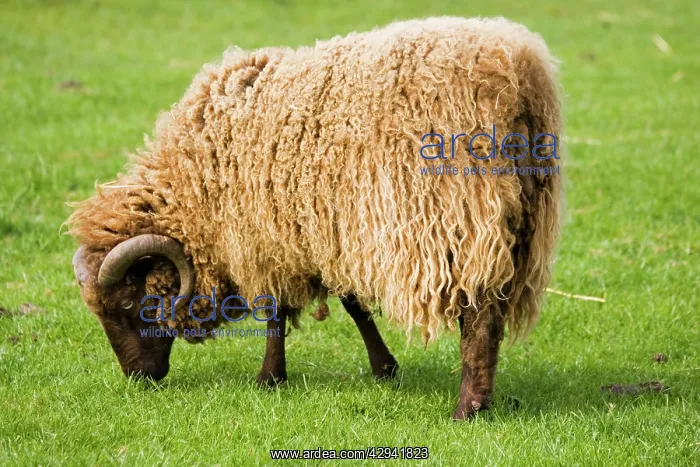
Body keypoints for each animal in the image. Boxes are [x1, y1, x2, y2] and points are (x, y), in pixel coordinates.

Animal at [68, 16, 563, 420]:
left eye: (130, 304)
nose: (138, 376)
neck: (198, 178)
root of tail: (515, 74)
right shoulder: (323, 231)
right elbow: (352, 302)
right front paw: (384, 367)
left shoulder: (268, 235)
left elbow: (276, 309)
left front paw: (269, 377)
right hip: (520, 223)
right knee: (492, 314)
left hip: (462, 217)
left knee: (479, 315)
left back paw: (468, 408)